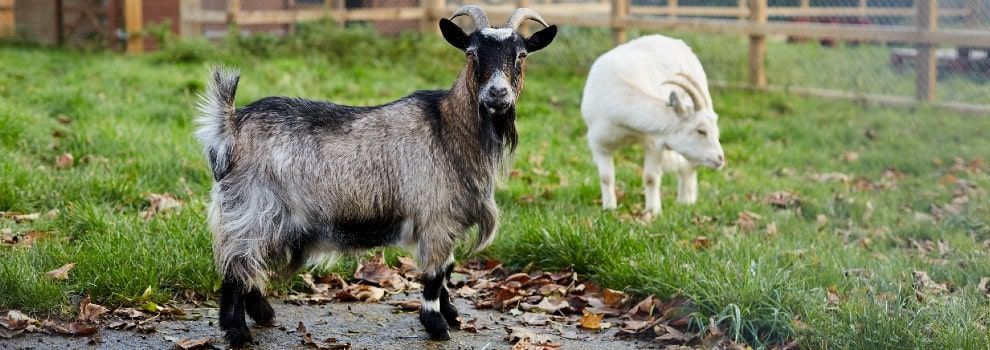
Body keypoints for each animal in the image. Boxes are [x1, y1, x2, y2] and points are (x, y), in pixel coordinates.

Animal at [194, 5, 560, 348]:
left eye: (521, 55)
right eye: (471, 53)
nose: (497, 95)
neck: (448, 127)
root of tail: (230, 125)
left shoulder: (447, 220)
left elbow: (447, 269)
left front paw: (451, 315)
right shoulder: (436, 217)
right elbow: (435, 273)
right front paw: (436, 325)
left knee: (247, 266)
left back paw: (263, 314)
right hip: (253, 208)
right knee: (236, 266)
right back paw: (238, 332)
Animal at [580, 35, 728, 216]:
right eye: (701, 131)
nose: (720, 159)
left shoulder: (653, 142)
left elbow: (651, 177)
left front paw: (653, 211)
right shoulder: (599, 143)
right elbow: (606, 177)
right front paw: (609, 208)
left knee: (689, 165)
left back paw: (686, 201)